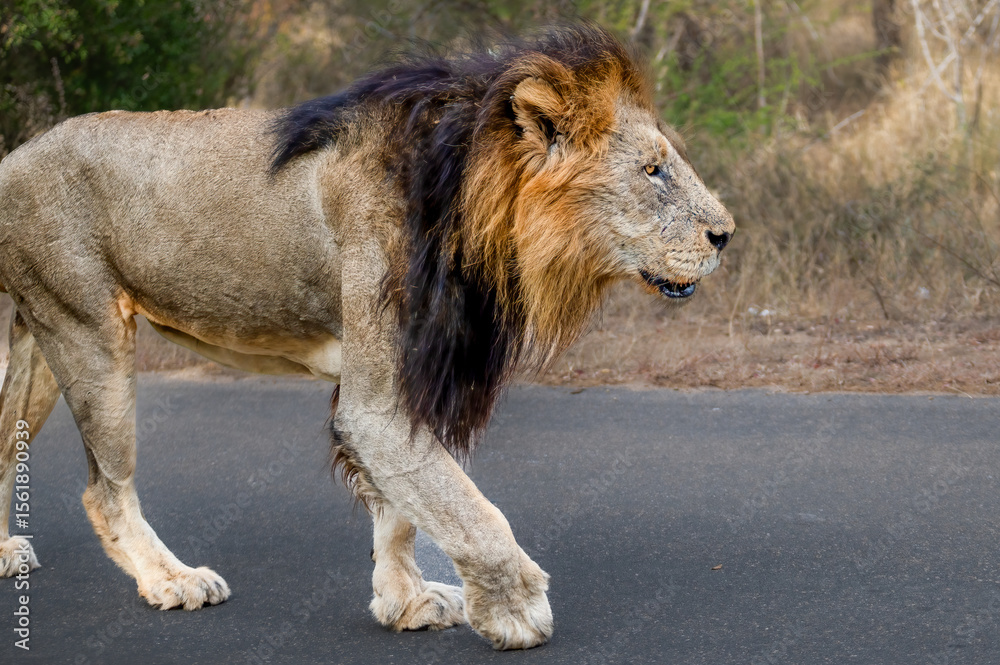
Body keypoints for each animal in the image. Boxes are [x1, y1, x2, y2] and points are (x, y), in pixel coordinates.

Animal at [0, 25, 733, 649]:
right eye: (652, 170)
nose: (725, 234)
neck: (477, 207)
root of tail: (13, 156)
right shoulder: (378, 397)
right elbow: (465, 506)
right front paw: (516, 607)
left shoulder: (405, 379)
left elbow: (403, 505)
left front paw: (406, 601)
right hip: (87, 331)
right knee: (105, 487)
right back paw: (172, 579)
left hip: (35, 344)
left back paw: (7, 551)